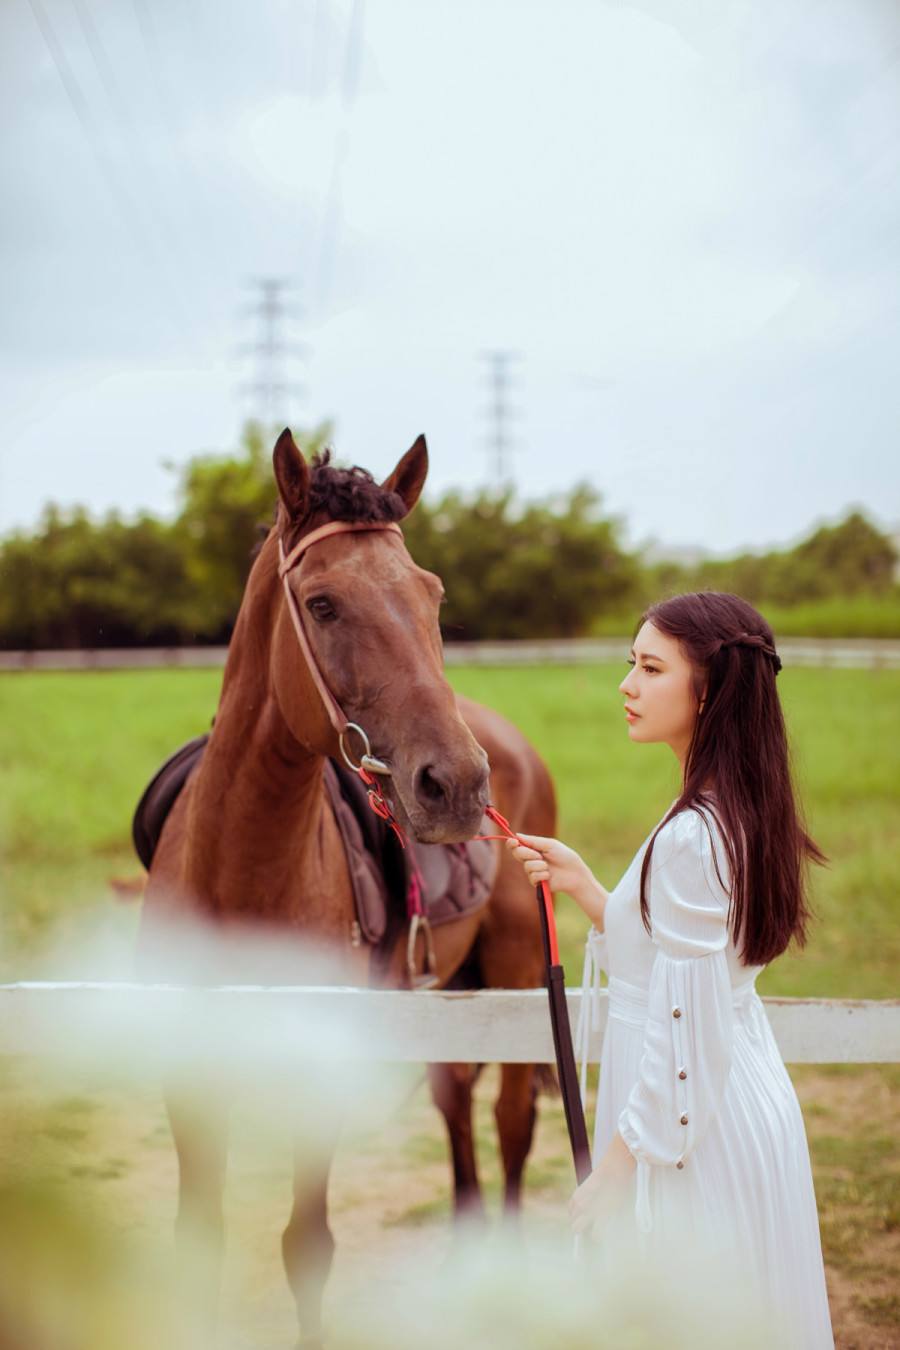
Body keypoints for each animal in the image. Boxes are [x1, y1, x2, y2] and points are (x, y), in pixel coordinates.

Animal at [135, 426, 555, 1344]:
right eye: (323, 605)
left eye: (432, 596)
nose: (457, 785)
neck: (241, 874)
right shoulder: (189, 1071)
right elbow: (199, 1241)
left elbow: (306, 1246)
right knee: (454, 1099)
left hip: (514, 968)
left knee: (510, 1119)